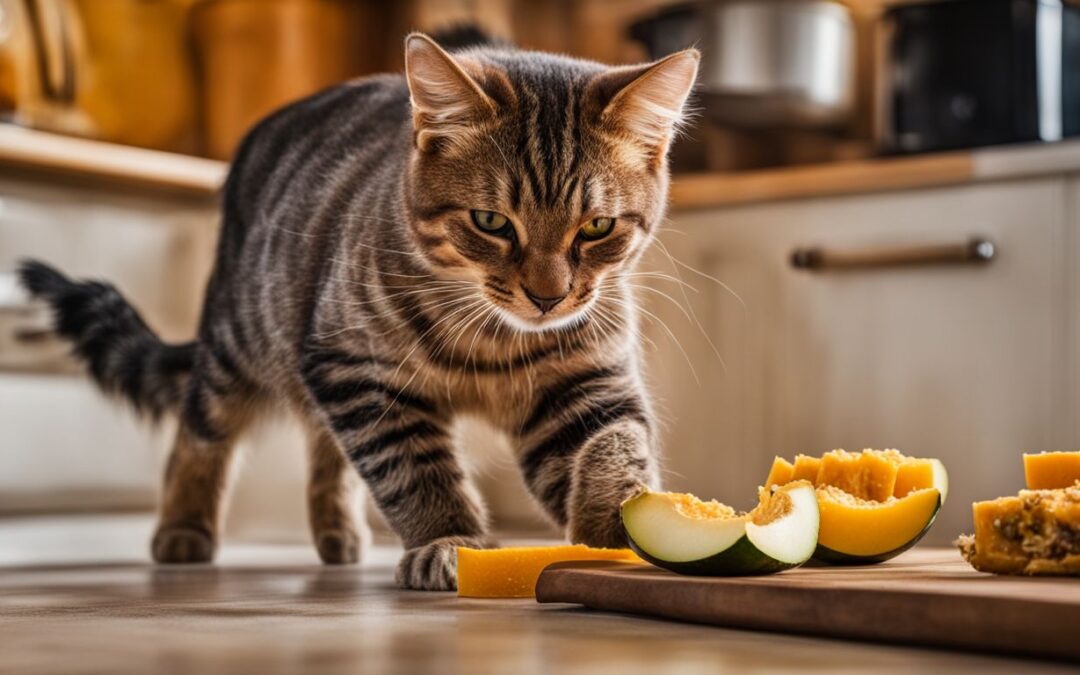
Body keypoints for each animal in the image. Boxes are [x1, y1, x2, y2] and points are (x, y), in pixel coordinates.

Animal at [19, 32, 699, 587]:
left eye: (598, 226)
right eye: (491, 222)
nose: (548, 295)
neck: (494, 338)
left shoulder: (586, 380)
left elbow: (616, 448)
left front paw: (616, 533)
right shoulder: (358, 371)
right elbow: (412, 469)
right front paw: (450, 540)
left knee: (325, 449)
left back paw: (338, 533)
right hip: (245, 340)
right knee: (201, 429)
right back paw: (184, 527)